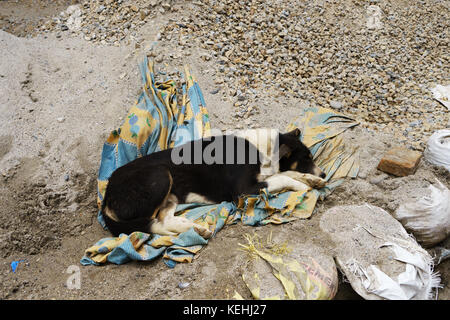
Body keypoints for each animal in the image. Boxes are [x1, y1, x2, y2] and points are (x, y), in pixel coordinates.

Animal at [100, 129, 326, 239]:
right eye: (306, 158)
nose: (324, 172)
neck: (261, 148)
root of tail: (107, 195)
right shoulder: (243, 191)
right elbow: (283, 177)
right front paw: (303, 186)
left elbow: (286, 173)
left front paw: (313, 179)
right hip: (160, 176)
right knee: (148, 225)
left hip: (170, 196)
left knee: (163, 221)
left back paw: (196, 229)